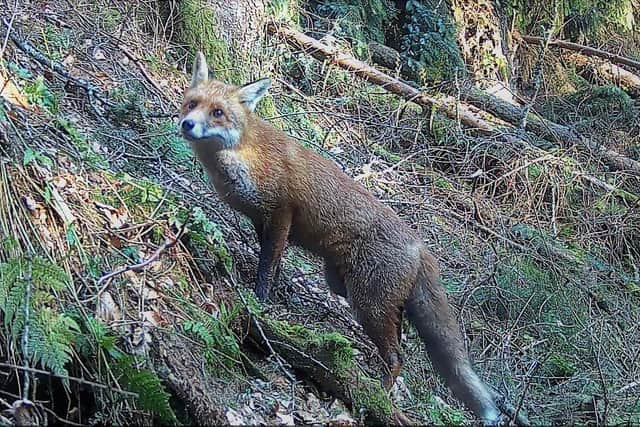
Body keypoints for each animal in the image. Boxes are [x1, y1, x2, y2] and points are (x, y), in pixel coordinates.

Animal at [180, 51, 528, 426]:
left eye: (218, 112)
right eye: (192, 104)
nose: (187, 124)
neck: (244, 155)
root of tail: (421, 246)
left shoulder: (282, 214)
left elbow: (268, 268)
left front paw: (260, 301)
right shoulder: (264, 222)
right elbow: (271, 263)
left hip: (368, 303)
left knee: (398, 356)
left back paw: (377, 396)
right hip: (352, 289)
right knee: (402, 340)